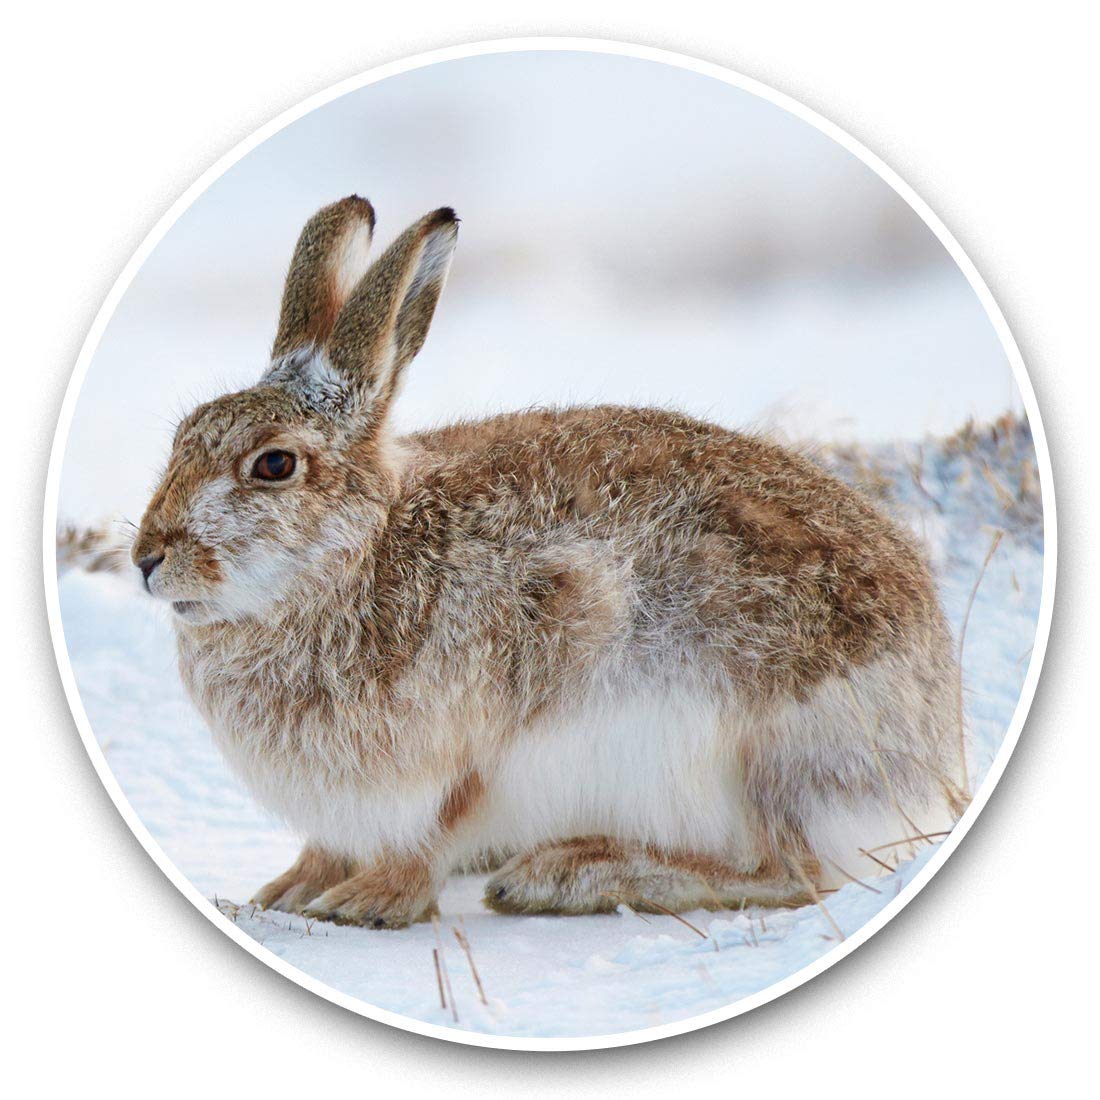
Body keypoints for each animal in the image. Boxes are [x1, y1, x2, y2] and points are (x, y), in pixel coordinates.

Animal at [131, 195, 967, 927]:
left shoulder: (494, 716)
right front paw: (287, 890)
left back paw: (568, 875)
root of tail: (937, 751)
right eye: (181, 437)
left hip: (769, 757)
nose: (146, 557)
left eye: (274, 465)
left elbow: (442, 823)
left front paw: (368, 903)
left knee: (792, 873)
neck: (354, 558)